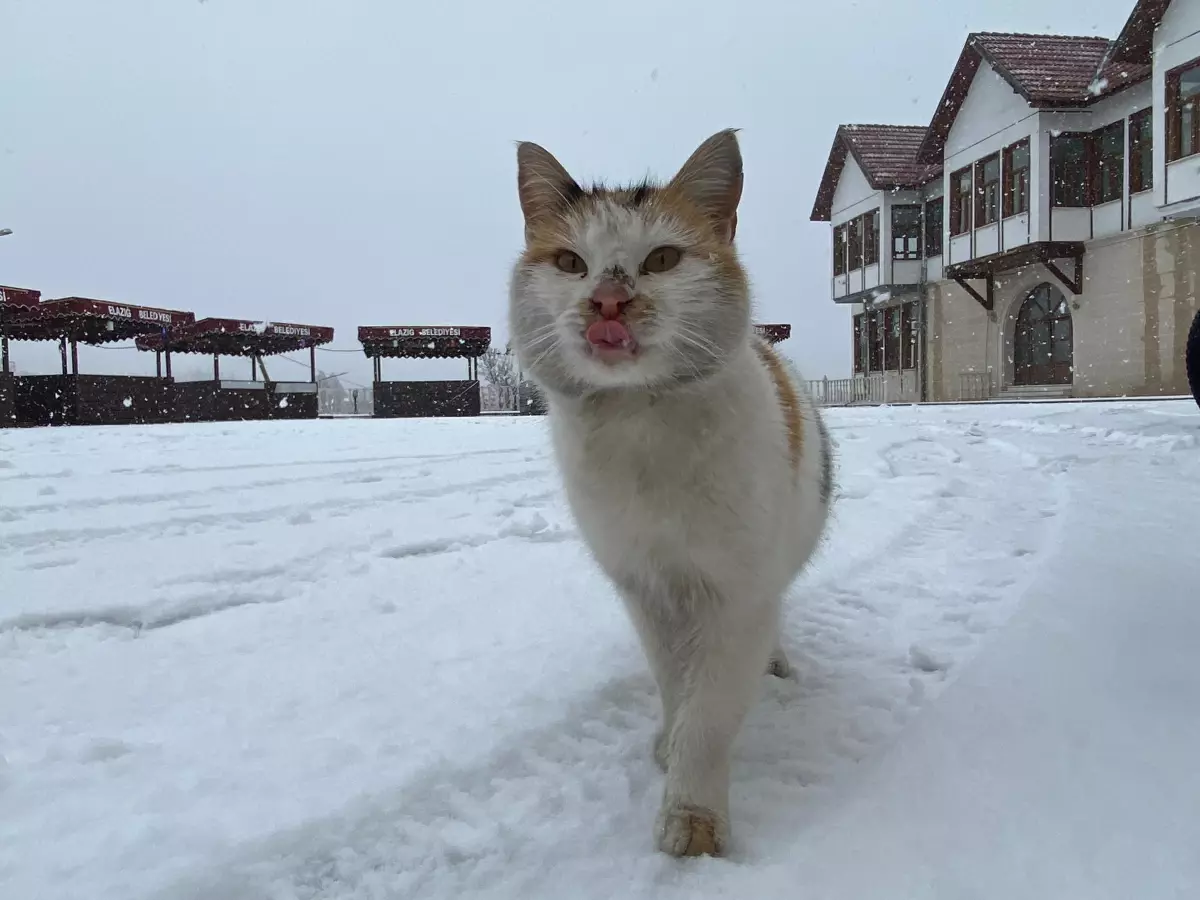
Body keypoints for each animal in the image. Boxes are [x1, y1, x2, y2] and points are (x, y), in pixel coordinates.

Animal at [506, 128, 835, 859]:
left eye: (661, 259)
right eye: (569, 262)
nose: (608, 301)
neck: (638, 424)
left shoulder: (737, 593)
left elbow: (710, 712)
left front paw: (694, 815)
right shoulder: (644, 585)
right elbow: (672, 679)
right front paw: (668, 738)